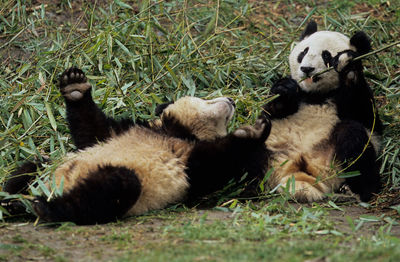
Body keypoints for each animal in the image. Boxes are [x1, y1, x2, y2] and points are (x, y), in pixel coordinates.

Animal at [3, 67, 268, 223]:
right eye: (205, 97)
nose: (232, 100)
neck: (174, 132)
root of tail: (53, 189)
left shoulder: (187, 162)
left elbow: (217, 162)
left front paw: (253, 132)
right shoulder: (125, 130)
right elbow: (92, 131)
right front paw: (75, 86)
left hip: (123, 186)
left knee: (108, 192)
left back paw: (46, 208)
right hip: (48, 167)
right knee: (32, 166)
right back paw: (12, 202)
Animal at [262, 22, 382, 203]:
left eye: (327, 56)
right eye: (303, 52)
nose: (306, 68)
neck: (316, 95)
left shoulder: (357, 100)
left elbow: (368, 119)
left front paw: (347, 65)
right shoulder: (298, 95)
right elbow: (271, 110)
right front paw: (284, 89)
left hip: (334, 164)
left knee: (353, 138)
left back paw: (360, 190)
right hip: (270, 151)